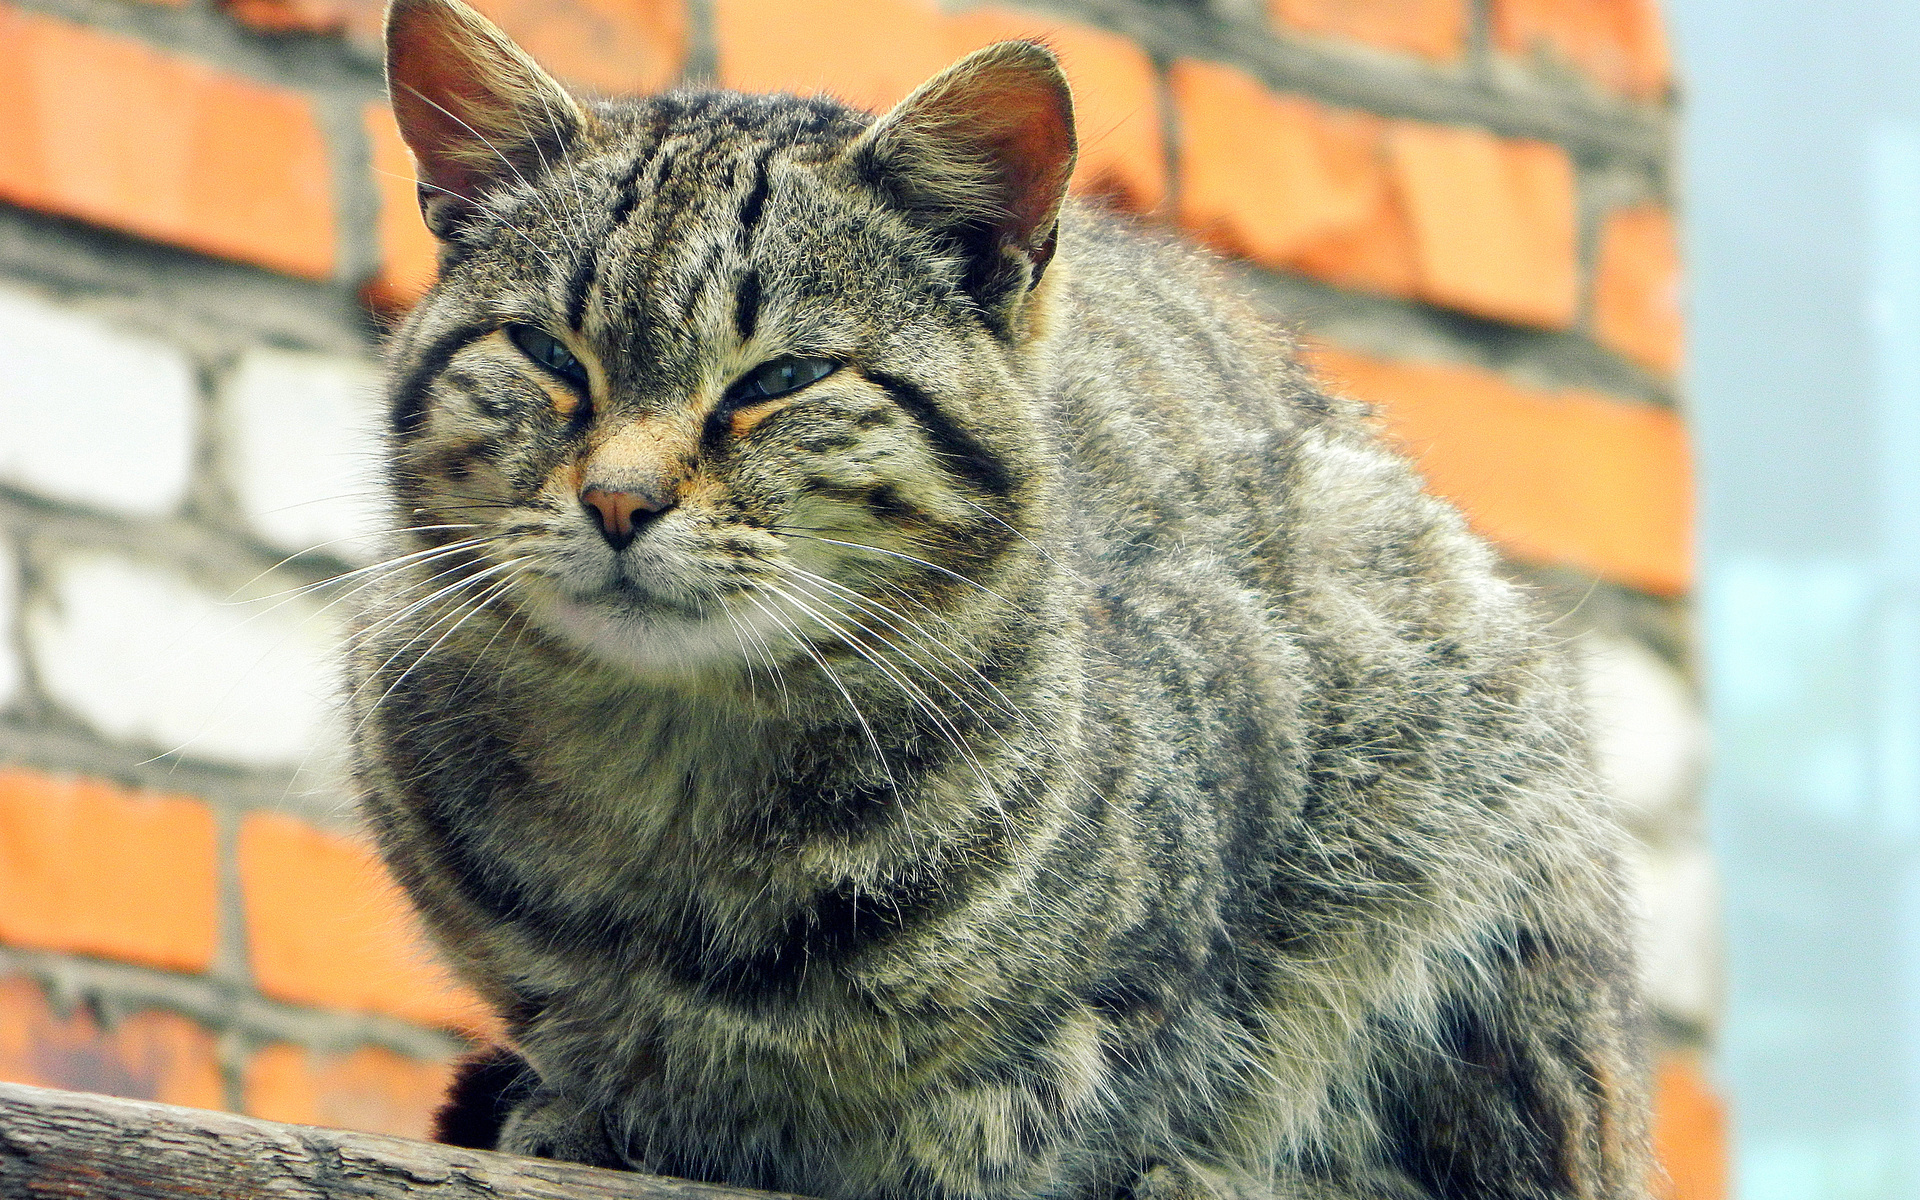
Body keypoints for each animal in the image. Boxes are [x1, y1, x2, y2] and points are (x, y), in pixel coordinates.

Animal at [357, 2, 1651, 1198]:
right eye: (546, 353)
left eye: (784, 378)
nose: (619, 501)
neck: (675, 788)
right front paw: (583, 1112)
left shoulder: (1200, 918)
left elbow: (1081, 1097)